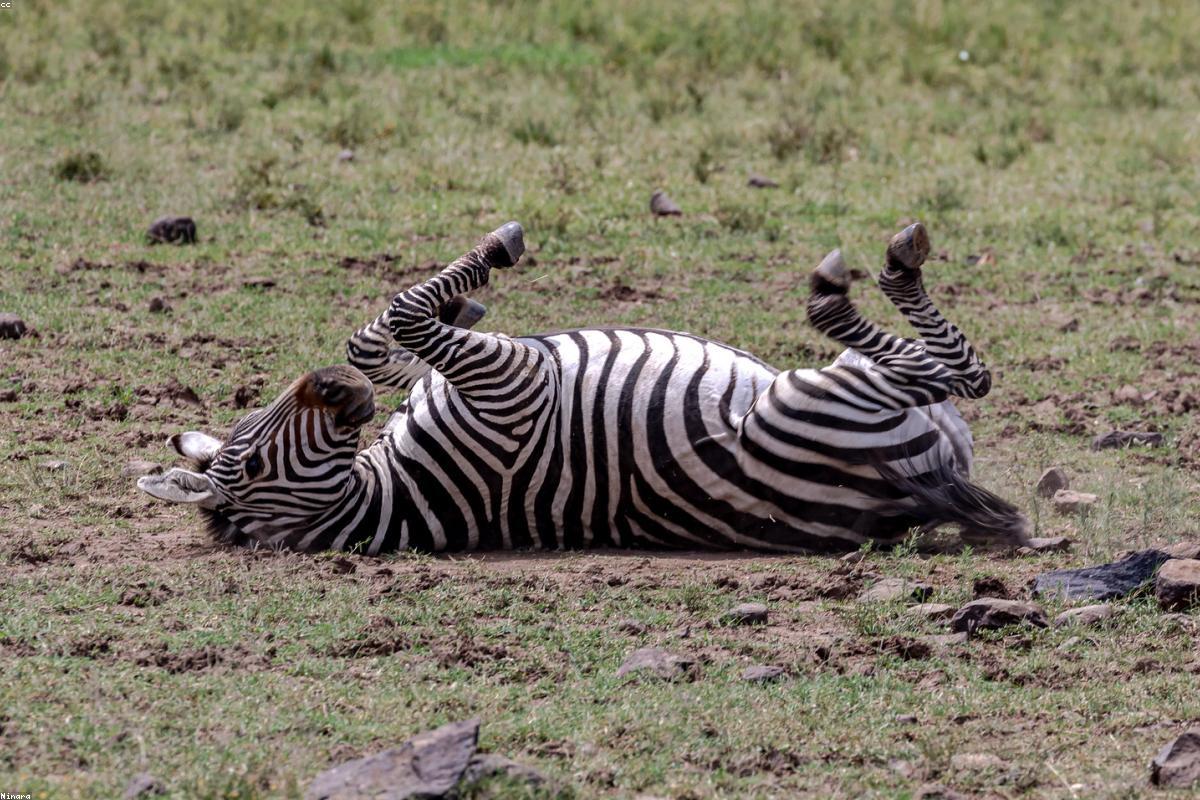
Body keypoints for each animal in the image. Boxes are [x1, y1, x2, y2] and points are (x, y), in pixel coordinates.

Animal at [138, 221, 1030, 554]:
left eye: (253, 427)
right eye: (254, 467)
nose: (333, 390)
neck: (388, 492)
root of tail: (921, 490)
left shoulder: (457, 377)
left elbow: (388, 331)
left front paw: (464, 297)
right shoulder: (511, 380)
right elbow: (405, 311)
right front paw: (493, 254)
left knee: (953, 371)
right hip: (815, 400)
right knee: (959, 370)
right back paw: (862, 278)